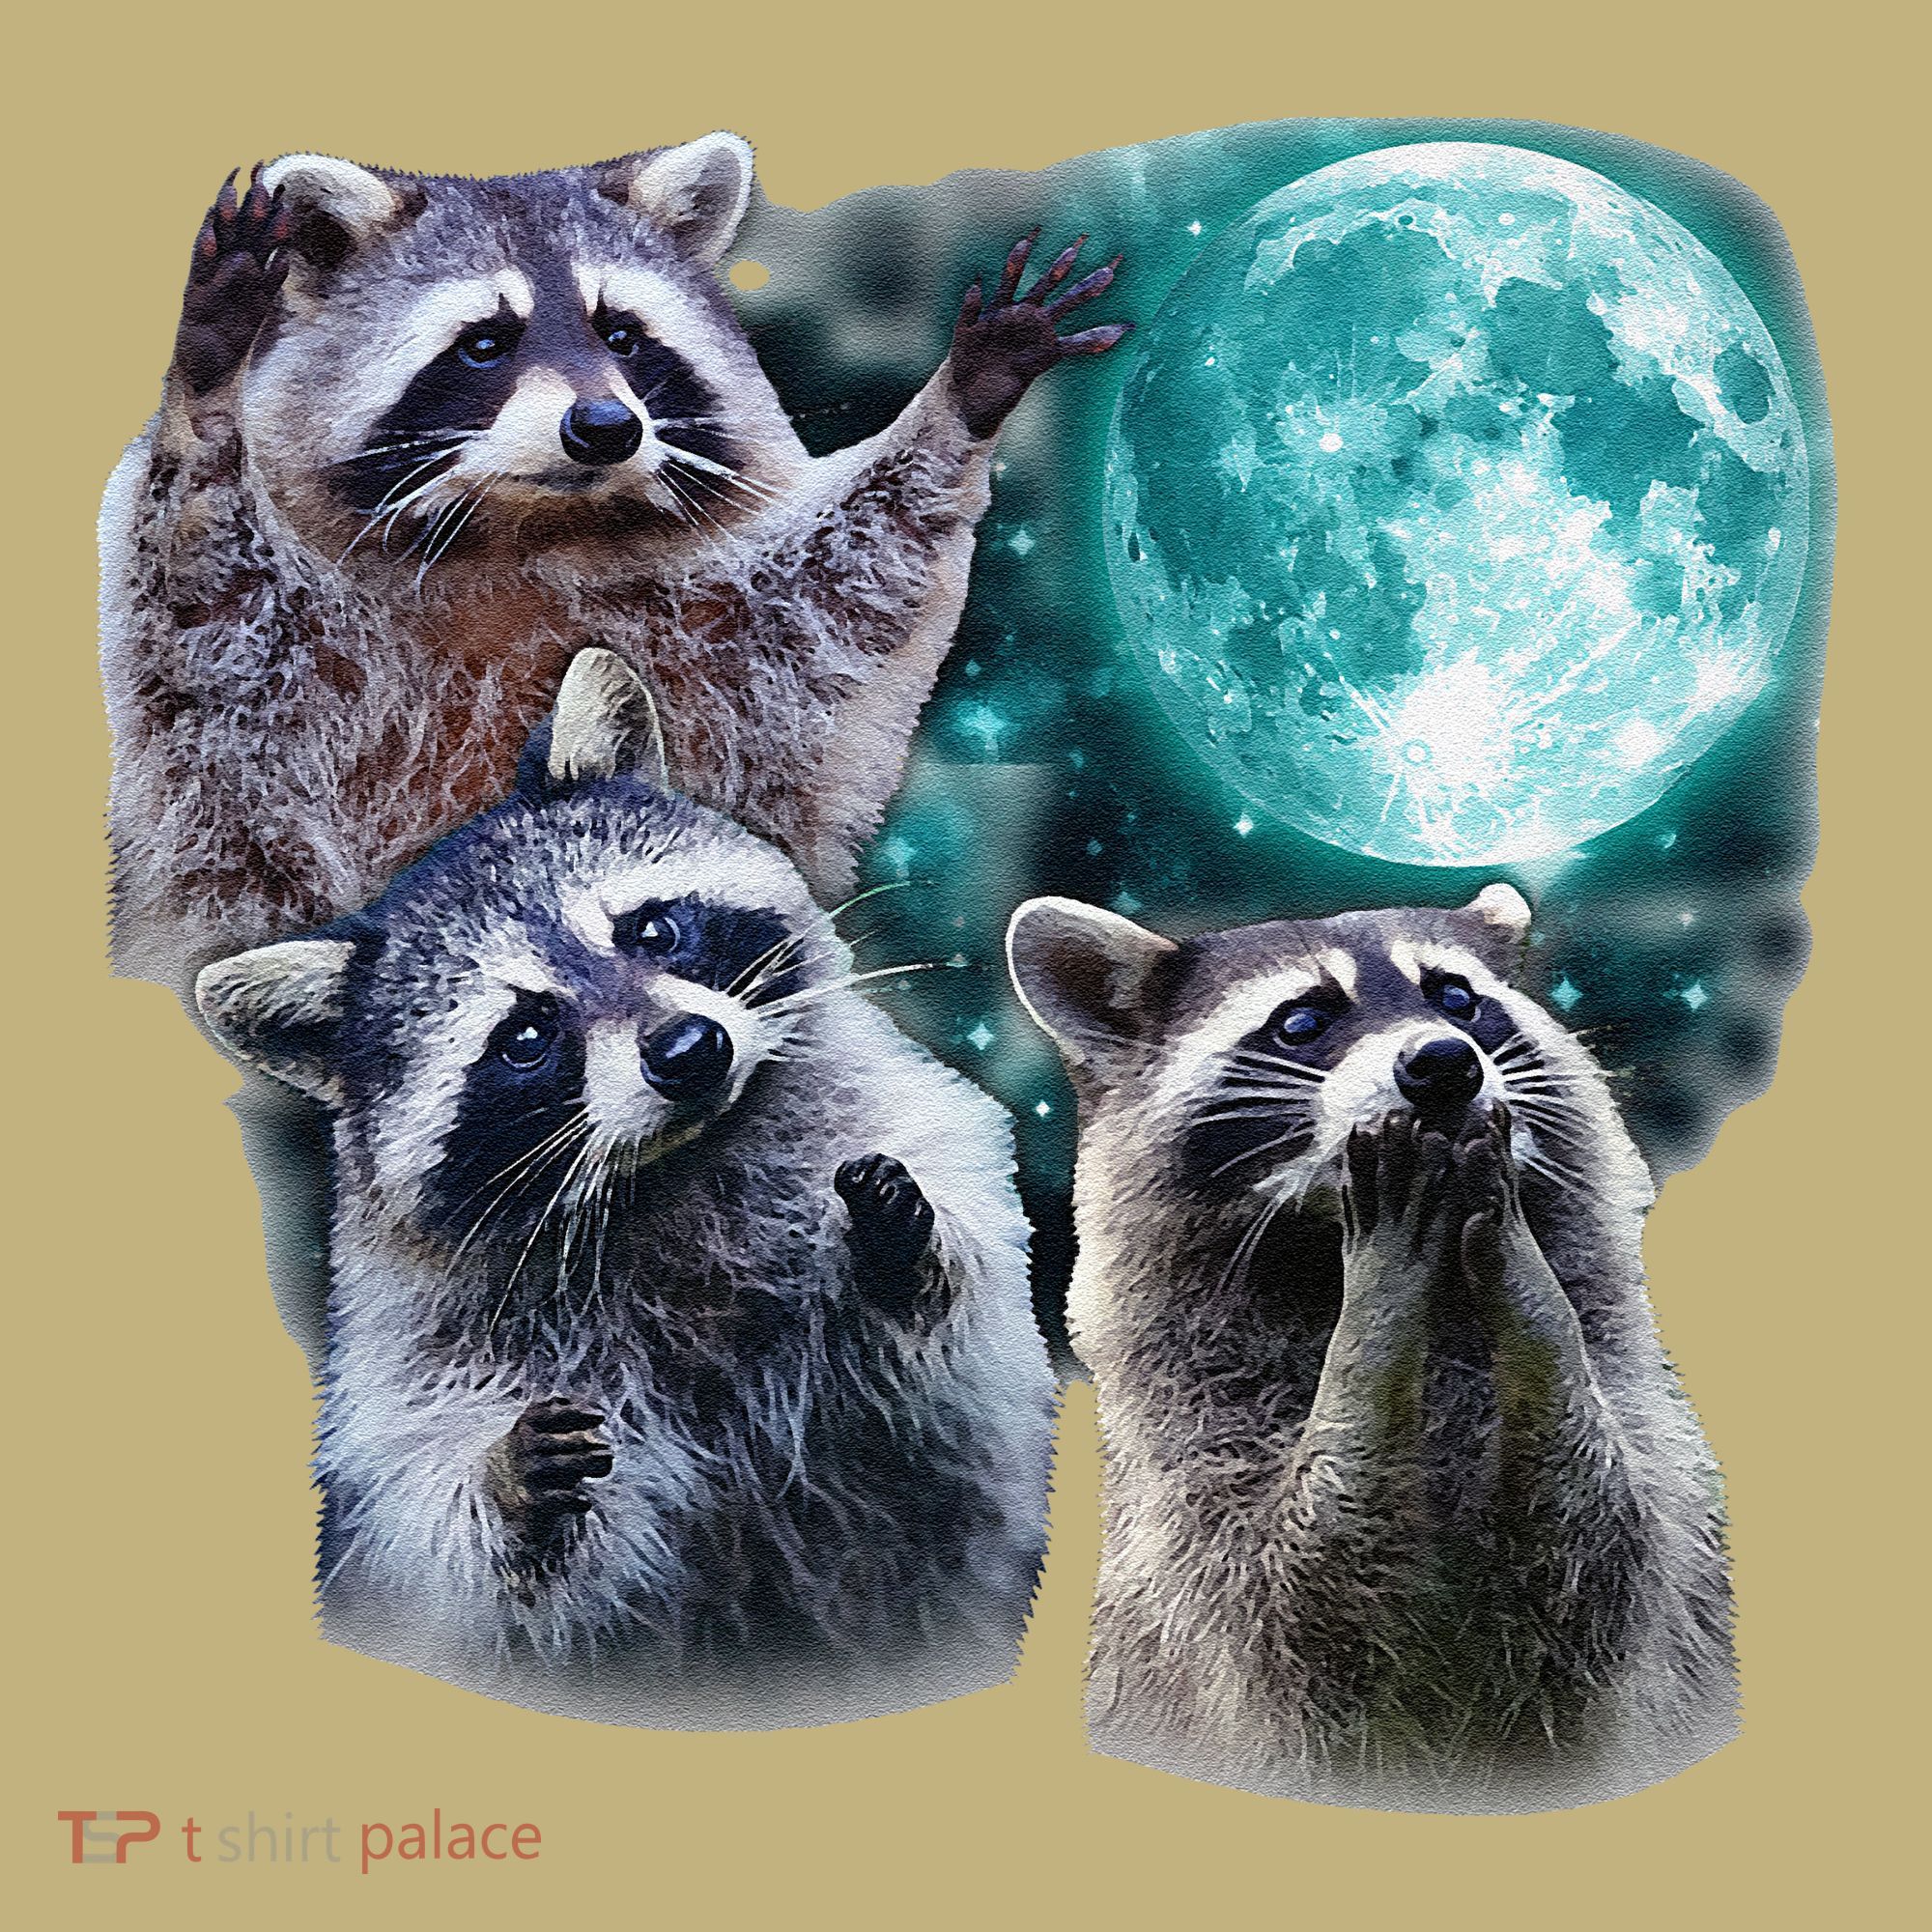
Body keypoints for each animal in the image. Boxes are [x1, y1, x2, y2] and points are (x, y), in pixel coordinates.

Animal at [105, 139, 1128, 992]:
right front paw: (208, 381)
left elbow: (851, 587)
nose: (605, 427)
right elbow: (203, 604)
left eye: (623, 334)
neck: (528, 532)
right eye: (485, 343)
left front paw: (963, 399)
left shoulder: (723, 633)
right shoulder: (275, 690)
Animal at [196, 650, 1055, 1727]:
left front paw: (910, 1255)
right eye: (525, 1035)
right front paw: (503, 1486)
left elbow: (963, 1353)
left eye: (651, 930)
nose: (689, 1050)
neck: (676, 1164)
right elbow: (465, 1552)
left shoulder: (907, 1137)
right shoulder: (424, 1366)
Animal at [1007, 887, 1737, 1810]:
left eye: (1456, 999)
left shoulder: (1642, 1419)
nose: (1444, 1062)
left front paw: (1533, 1299)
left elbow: (1599, 1571)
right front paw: (1376, 1315)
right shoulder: (1190, 1464)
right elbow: (1297, 1618)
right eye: (1301, 1022)